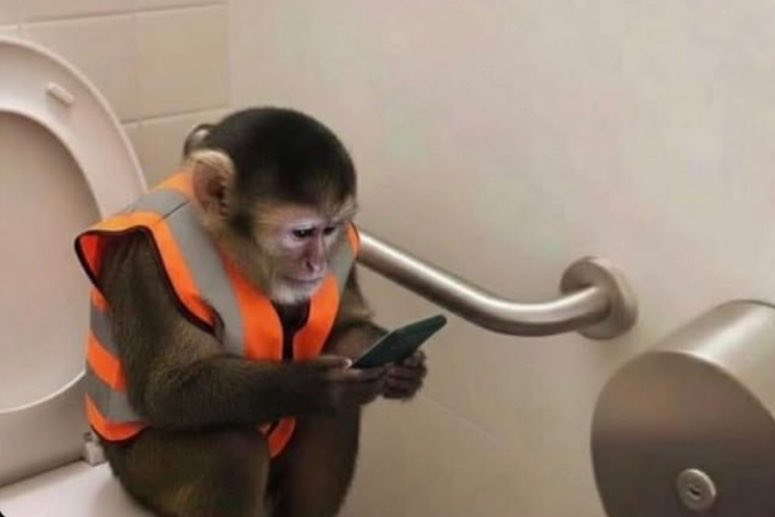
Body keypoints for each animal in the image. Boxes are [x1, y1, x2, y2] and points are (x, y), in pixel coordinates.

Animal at [74, 107, 428, 517]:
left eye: (330, 230)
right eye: (302, 233)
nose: (318, 266)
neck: (232, 251)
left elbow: (345, 330)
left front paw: (404, 366)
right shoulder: (145, 264)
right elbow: (164, 389)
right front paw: (311, 385)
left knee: (332, 421)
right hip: (141, 474)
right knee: (233, 449)